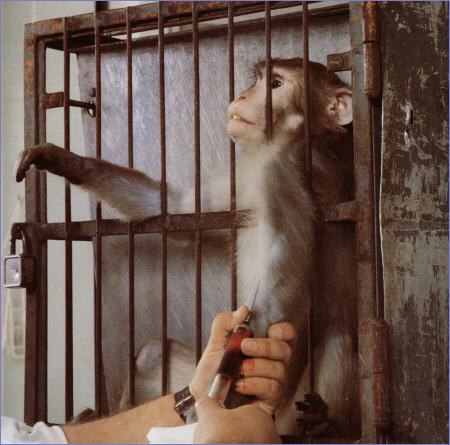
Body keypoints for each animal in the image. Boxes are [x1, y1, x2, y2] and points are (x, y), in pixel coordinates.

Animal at [15, 58, 354, 434]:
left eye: (276, 85)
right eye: (259, 81)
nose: (243, 95)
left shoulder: (284, 171)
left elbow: (284, 274)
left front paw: (222, 405)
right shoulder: (242, 177)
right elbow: (177, 207)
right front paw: (64, 160)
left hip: (288, 414)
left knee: (339, 337)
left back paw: (323, 422)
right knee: (154, 356)